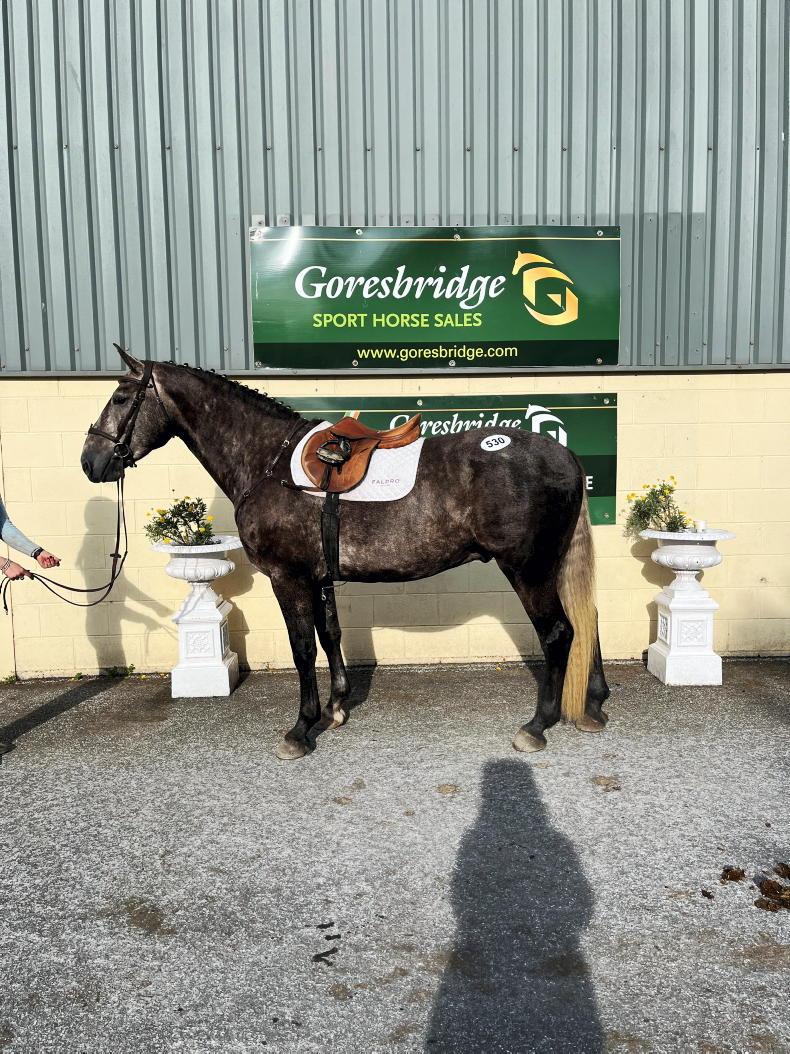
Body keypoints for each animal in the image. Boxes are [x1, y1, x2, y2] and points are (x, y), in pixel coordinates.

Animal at [80, 348, 610, 760]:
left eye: (121, 398)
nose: (90, 462)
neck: (267, 462)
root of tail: (565, 456)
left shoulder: (288, 577)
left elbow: (302, 647)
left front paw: (300, 729)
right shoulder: (319, 576)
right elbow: (330, 635)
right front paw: (336, 708)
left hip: (528, 570)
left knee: (559, 632)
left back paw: (537, 725)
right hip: (550, 567)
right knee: (587, 619)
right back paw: (595, 703)